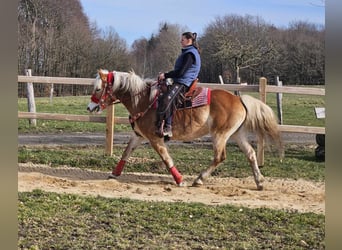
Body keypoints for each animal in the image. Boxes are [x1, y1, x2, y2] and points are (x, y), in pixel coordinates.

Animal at [87, 68, 282, 189]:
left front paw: (179, 180)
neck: (143, 100)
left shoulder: (155, 138)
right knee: (250, 154)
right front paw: (114, 174)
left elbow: (166, 159)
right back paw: (259, 181)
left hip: (220, 134)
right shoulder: (138, 135)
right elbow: (126, 153)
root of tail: (239, 99)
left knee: (220, 157)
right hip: (236, 134)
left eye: (97, 89)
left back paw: (199, 179)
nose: (89, 107)